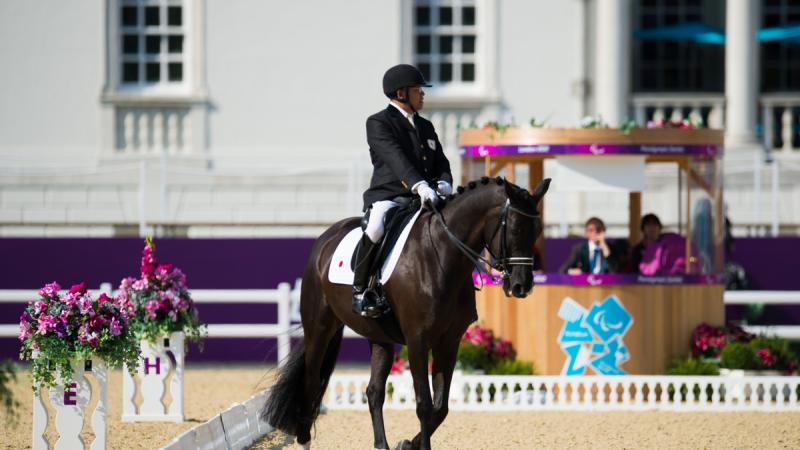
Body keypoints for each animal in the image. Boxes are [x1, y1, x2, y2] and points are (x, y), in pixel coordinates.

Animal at [262, 177, 552, 450]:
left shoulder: (449, 341)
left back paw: (381, 445)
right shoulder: (417, 340)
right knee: (311, 383)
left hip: (379, 338)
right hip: (320, 329)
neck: (441, 256)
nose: (522, 286)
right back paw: (303, 440)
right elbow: (424, 403)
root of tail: (325, 239)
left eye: (538, 230)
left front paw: (408, 444)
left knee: (374, 391)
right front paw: (419, 446)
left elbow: (441, 406)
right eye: (515, 229)